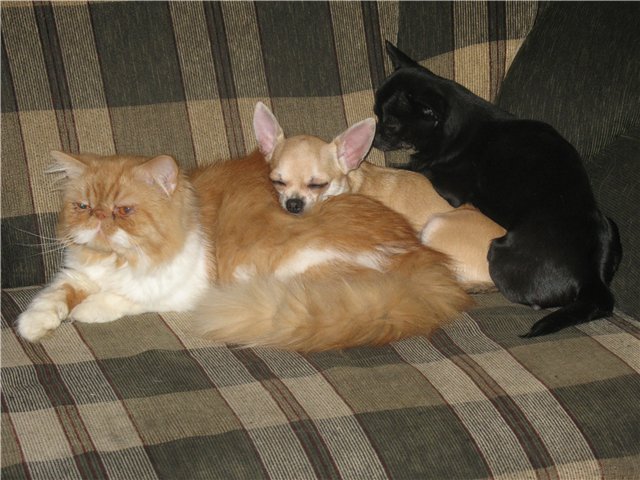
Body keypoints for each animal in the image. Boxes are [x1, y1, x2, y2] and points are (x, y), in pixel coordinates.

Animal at [373, 41, 622, 337]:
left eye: (390, 124)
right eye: (375, 113)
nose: (373, 137)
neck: (459, 124)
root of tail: (593, 277)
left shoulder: (446, 185)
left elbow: (409, 166)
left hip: (499, 257)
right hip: (610, 225)